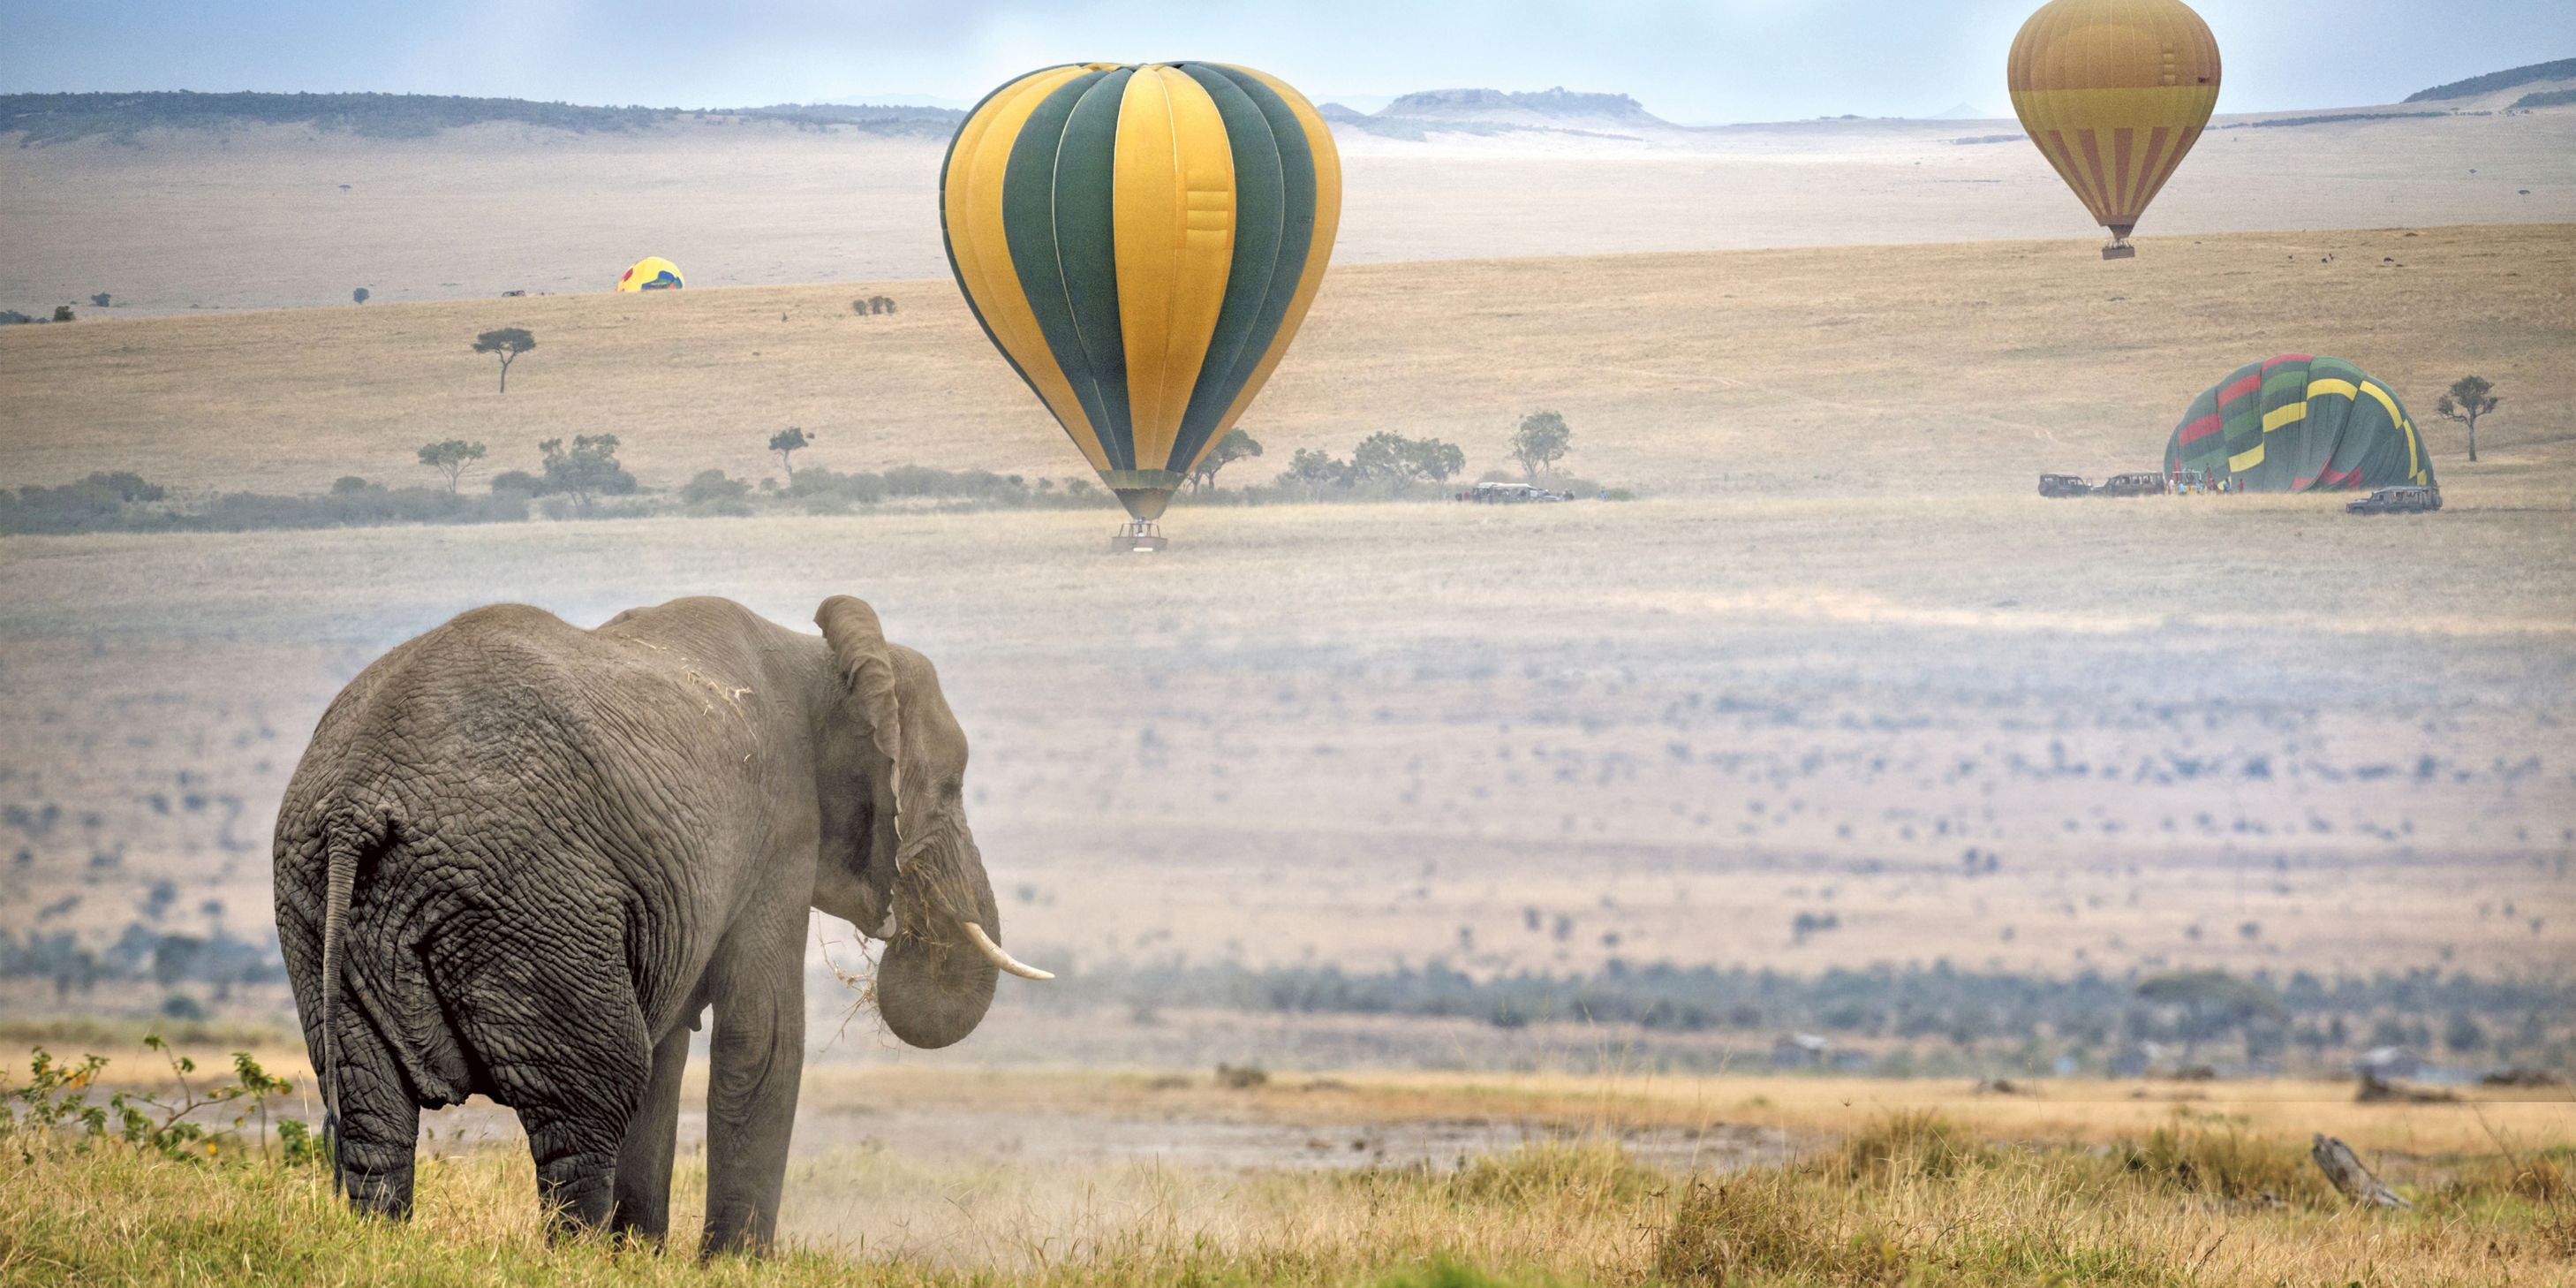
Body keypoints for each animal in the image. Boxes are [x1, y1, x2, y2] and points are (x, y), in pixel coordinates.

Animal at [271, 594, 1049, 1253]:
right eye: (951, 786)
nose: (906, 922)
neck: (822, 656)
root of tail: (356, 802)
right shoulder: (779, 833)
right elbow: (761, 1037)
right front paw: (734, 1266)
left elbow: (671, 1042)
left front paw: (640, 1254)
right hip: (530, 899)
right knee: (594, 1089)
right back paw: (575, 1256)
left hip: (315, 907)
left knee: (372, 1108)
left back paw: (382, 1244)